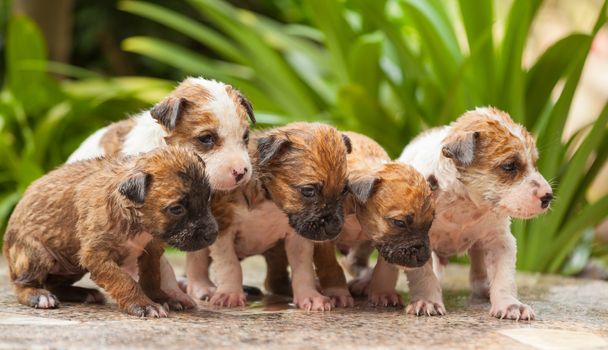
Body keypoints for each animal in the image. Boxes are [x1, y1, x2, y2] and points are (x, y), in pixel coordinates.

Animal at [2, 146, 218, 316]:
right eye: (176, 209)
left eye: (208, 198)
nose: (213, 234)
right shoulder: (97, 256)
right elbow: (124, 280)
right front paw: (144, 305)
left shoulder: (150, 251)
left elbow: (152, 277)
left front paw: (161, 297)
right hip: (38, 254)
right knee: (22, 285)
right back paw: (38, 295)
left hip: (72, 265)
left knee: (54, 284)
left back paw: (83, 293)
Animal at [264, 133, 440, 310]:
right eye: (399, 223)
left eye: (430, 224)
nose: (423, 257)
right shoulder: (324, 239)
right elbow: (330, 266)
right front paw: (337, 292)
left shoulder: (386, 245)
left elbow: (385, 270)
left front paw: (383, 292)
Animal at [350, 107, 552, 320]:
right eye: (510, 166)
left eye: (535, 163)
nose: (548, 196)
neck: (464, 203)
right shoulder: (419, 241)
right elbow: (424, 274)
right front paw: (428, 301)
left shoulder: (500, 240)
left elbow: (503, 276)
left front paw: (510, 305)